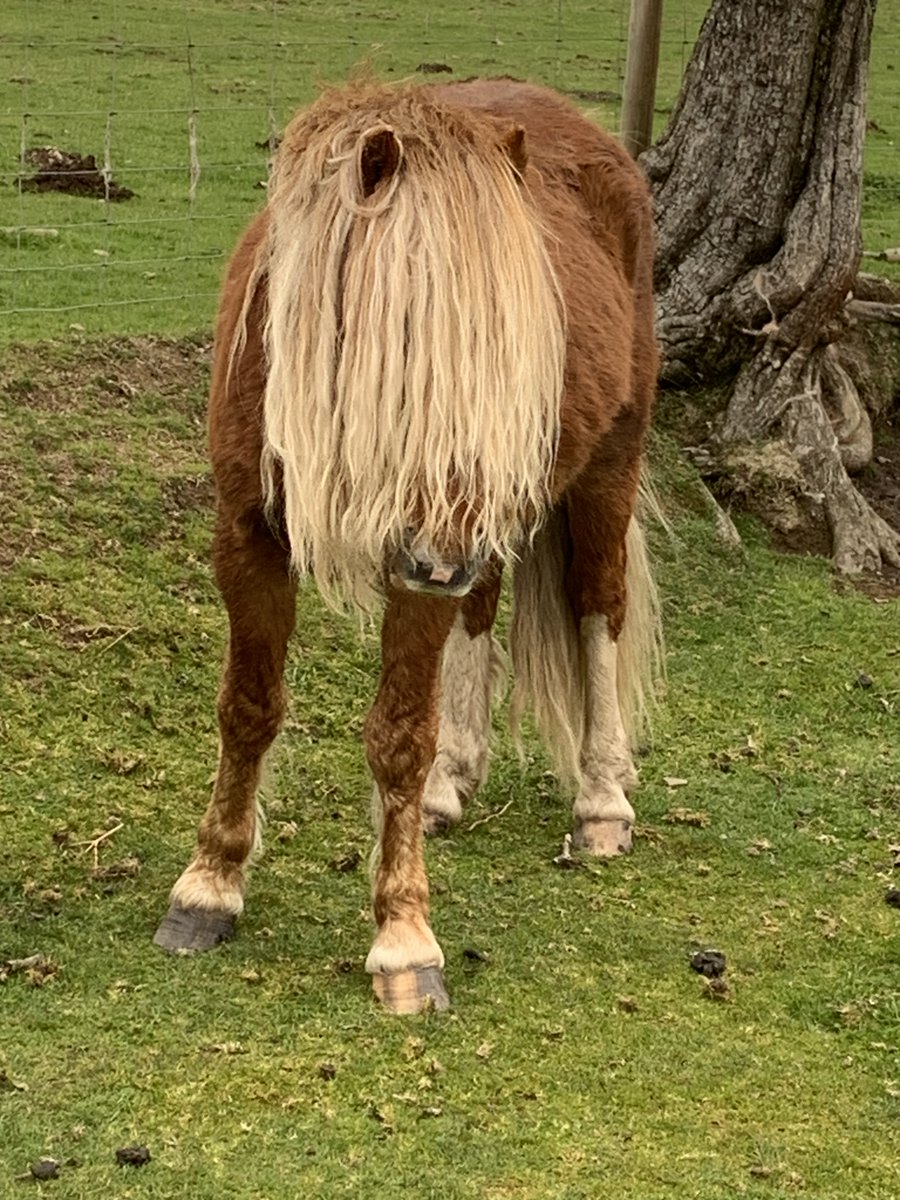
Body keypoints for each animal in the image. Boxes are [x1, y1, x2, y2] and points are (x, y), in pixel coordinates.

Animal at [154, 77, 662, 1012]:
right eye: (402, 332)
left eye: (514, 345)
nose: (442, 554)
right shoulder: (249, 534)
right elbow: (248, 707)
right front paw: (209, 886)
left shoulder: (418, 571)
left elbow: (398, 734)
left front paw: (403, 940)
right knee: (484, 611)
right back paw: (450, 785)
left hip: (607, 464)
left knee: (597, 606)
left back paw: (602, 800)